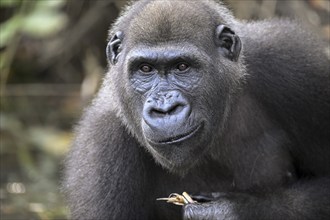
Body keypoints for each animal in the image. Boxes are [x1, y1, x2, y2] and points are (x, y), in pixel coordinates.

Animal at [62, 0, 330, 219]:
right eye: (145, 69)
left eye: (182, 67)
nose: (165, 108)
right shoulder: (100, 147)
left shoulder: (295, 63)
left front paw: (233, 211)